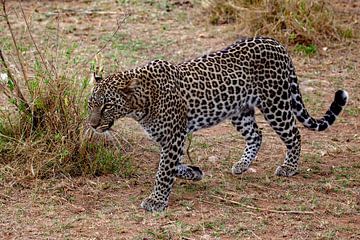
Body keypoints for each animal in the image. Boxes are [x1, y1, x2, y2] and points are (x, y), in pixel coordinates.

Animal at [87, 36, 348, 212]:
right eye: (91, 104)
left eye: (107, 106)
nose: (92, 125)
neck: (140, 104)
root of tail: (275, 43)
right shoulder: (169, 138)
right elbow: (172, 164)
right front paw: (193, 172)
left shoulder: (173, 137)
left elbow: (163, 170)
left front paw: (157, 200)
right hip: (239, 110)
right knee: (256, 135)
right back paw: (242, 165)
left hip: (275, 103)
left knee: (293, 134)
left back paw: (289, 167)